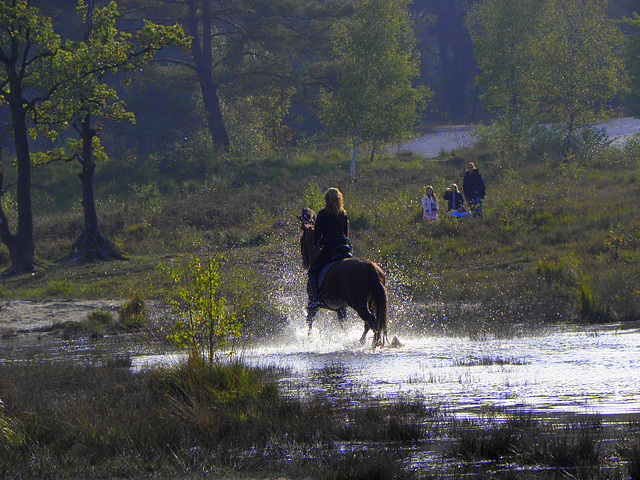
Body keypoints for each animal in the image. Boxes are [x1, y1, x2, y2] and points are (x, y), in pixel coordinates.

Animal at [298, 208, 388, 346]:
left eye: (301, 240)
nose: (304, 263)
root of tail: (371, 268)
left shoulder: (313, 302)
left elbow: (309, 320)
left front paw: (309, 339)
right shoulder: (340, 307)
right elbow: (343, 324)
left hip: (358, 303)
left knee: (371, 320)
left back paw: (371, 344)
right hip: (369, 300)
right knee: (371, 322)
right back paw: (363, 341)